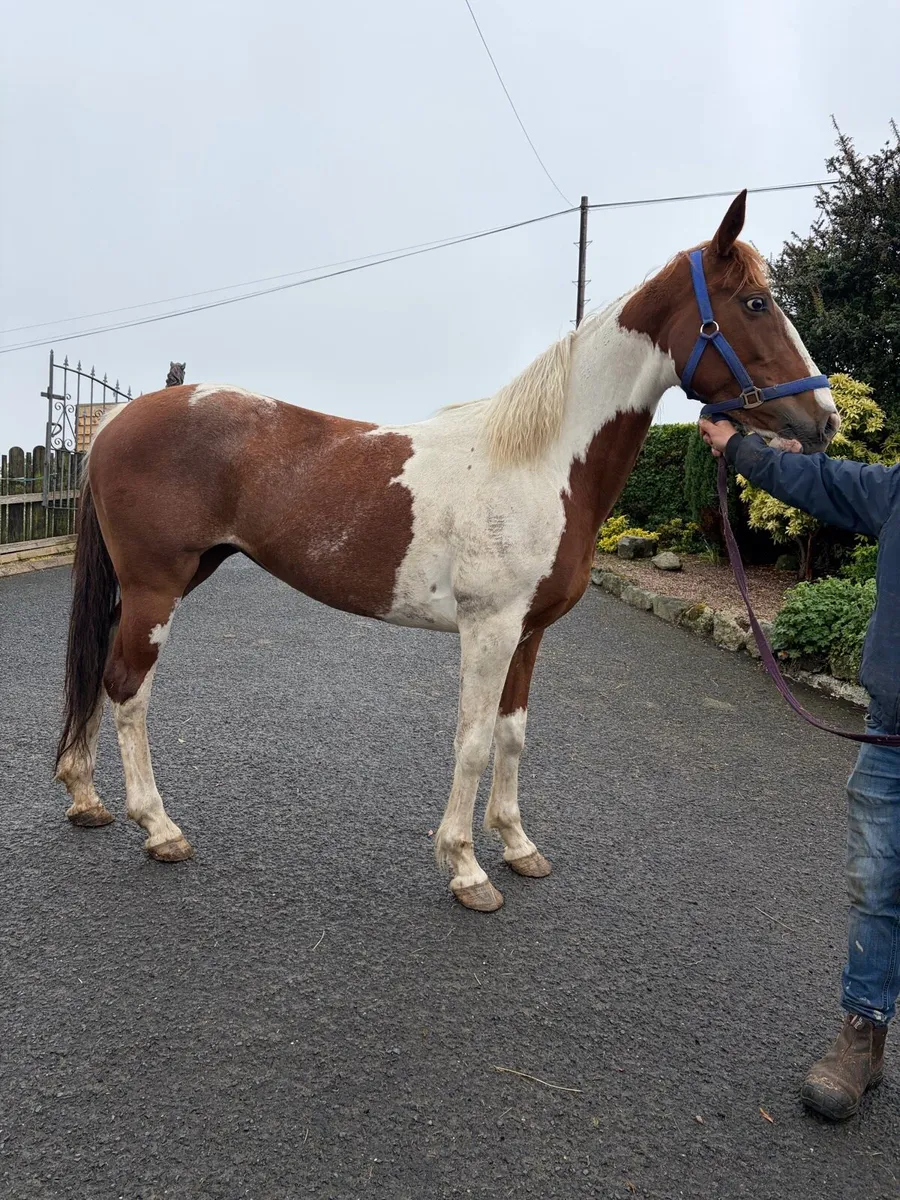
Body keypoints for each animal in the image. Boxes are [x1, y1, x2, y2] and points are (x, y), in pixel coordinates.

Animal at [55, 191, 838, 911]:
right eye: (755, 303)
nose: (825, 419)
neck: (541, 463)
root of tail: (118, 420)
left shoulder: (529, 632)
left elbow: (512, 735)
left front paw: (518, 846)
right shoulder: (487, 628)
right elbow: (472, 740)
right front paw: (465, 869)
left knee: (99, 669)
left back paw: (86, 799)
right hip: (157, 587)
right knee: (128, 686)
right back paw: (159, 829)